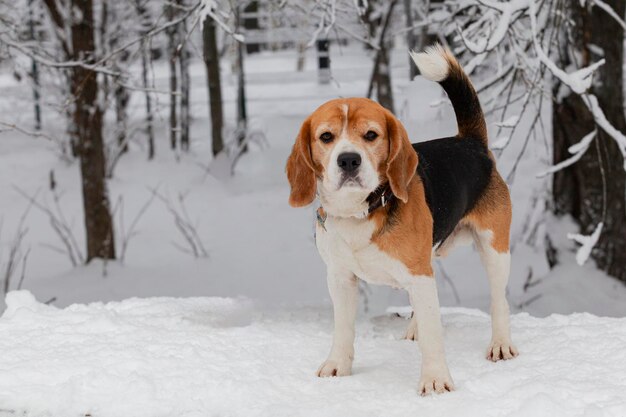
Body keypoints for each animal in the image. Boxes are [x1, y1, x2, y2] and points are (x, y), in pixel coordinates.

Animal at [286, 44, 516, 394]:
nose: (348, 160)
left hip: (494, 248)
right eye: (326, 137)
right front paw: (337, 366)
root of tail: (470, 142)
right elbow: (343, 328)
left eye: (371, 135)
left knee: (498, 300)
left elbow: (435, 338)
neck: (360, 211)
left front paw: (435, 379)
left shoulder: (419, 275)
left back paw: (500, 343)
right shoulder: (340, 277)